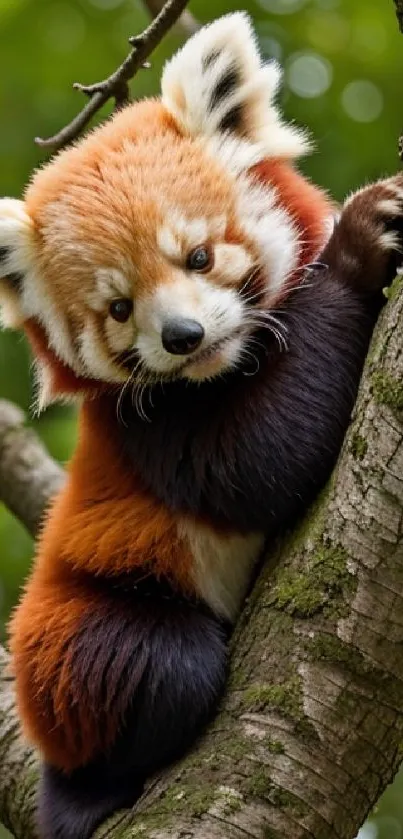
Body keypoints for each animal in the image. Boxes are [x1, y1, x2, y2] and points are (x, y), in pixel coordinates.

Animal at [0, 11, 402, 839]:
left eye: (198, 255)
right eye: (119, 307)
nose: (182, 336)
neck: (226, 365)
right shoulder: (140, 429)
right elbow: (253, 468)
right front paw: (357, 244)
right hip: (77, 626)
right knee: (167, 665)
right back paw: (92, 788)